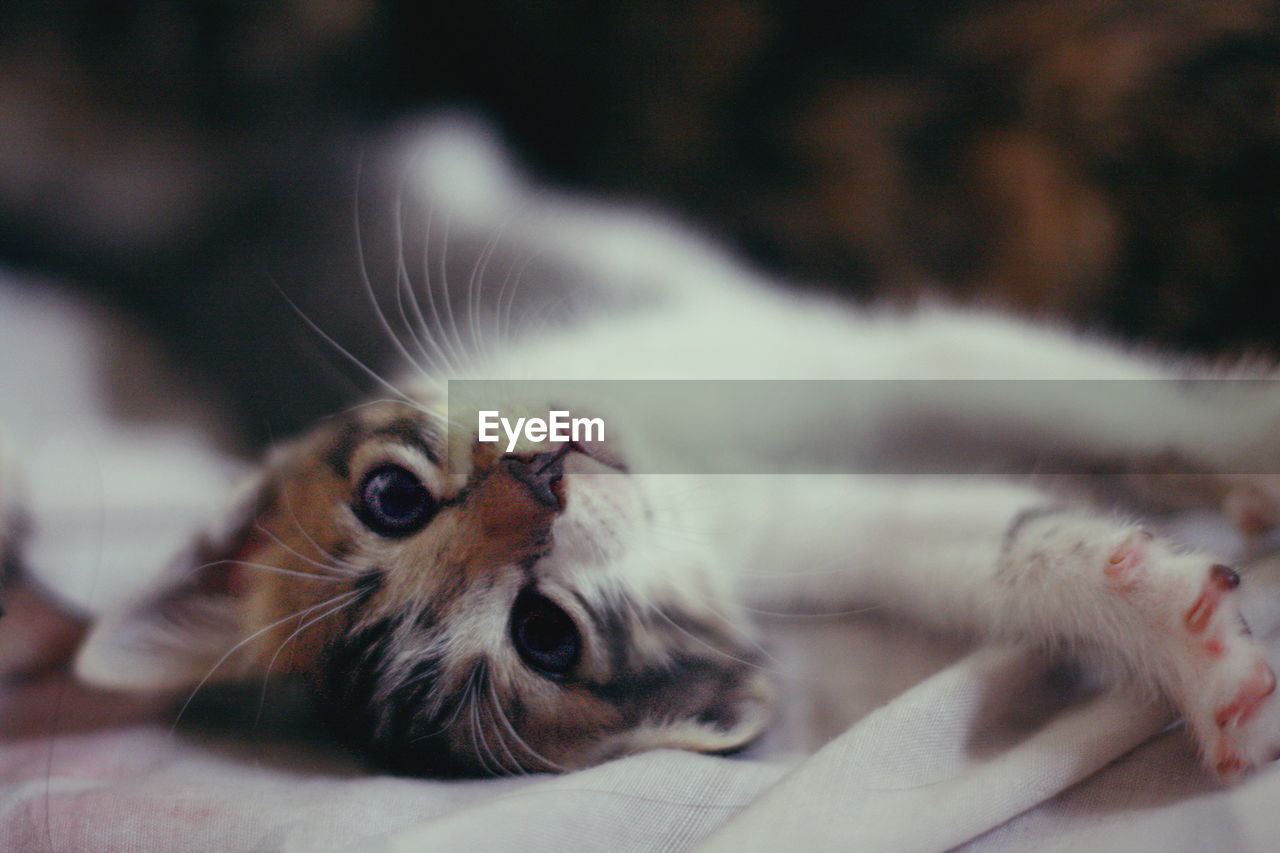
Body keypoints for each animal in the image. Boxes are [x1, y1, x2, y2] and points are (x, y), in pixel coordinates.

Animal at [67, 119, 1280, 778]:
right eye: (544, 636)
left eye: (391, 498)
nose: (542, 482)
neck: (691, 470)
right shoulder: (822, 530)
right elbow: (991, 543)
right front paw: (1185, 643)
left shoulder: (853, 353)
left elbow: (1097, 396)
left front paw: (1248, 439)